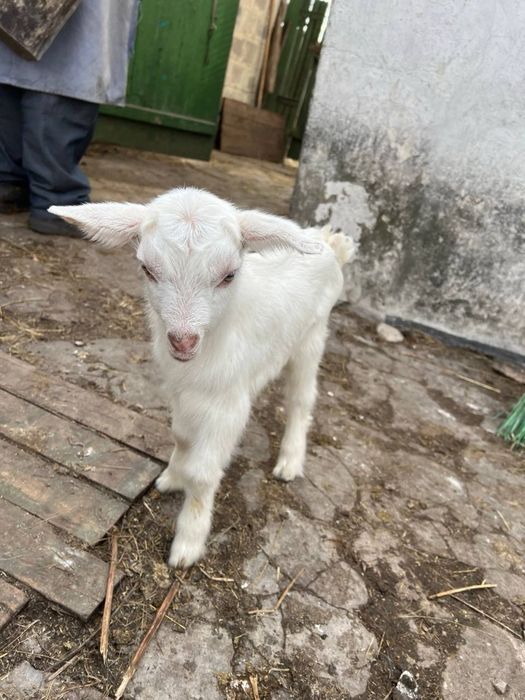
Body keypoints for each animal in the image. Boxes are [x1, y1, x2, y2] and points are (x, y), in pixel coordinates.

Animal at [50, 188, 353, 568]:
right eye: (147, 269)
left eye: (229, 275)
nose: (183, 340)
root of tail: (327, 242)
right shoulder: (181, 390)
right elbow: (181, 436)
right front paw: (172, 477)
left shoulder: (228, 405)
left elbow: (204, 472)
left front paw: (188, 544)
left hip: (311, 337)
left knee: (301, 399)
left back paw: (289, 462)